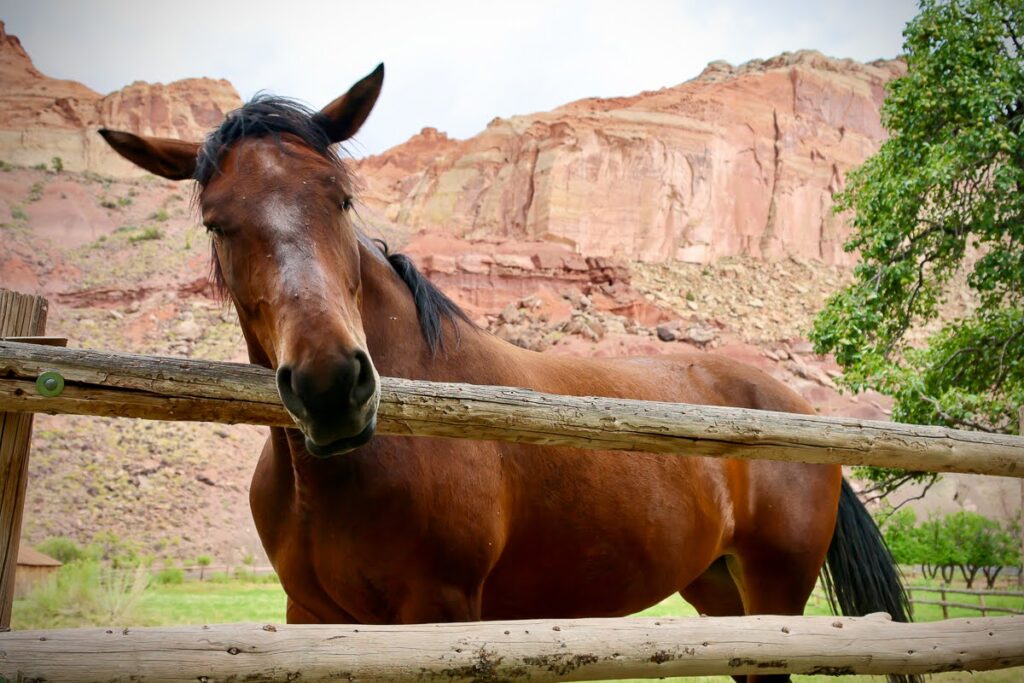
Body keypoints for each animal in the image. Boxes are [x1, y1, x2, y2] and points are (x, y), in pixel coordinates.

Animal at [101, 65, 913, 683]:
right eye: (216, 223)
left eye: (342, 198)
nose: (332, 387)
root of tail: (793, 409)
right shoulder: (311, 619)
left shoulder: (438, 615)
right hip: (721, 595)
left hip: (775, 593)